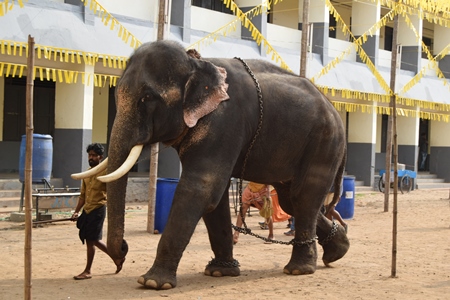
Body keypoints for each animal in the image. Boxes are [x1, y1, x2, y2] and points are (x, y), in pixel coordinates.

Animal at [72, 39, 350, 290]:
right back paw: (338, 250)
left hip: (324, 143)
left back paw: (299, 269)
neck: (196, 62)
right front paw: (219, 272)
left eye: (147, 97)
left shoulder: (225, 121)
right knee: (291, 200)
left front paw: (151, 282)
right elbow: (215, 199)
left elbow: (201, 189)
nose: (123, 250)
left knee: (303, 197)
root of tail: (335, 110)